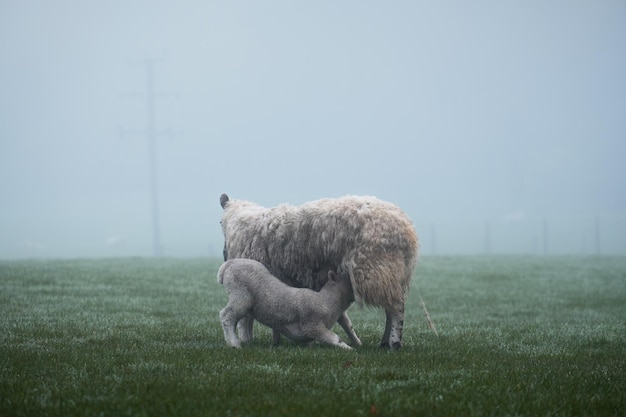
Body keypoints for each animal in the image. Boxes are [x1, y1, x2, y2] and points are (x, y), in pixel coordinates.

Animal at [217, 258, 356, 350]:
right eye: (347, 278)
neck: (327, 301)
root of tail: (228, 264)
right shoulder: (312, 325)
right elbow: (334, 337)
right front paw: (349, 348)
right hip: (240, 295)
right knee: (227, 316)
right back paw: (234, 343)